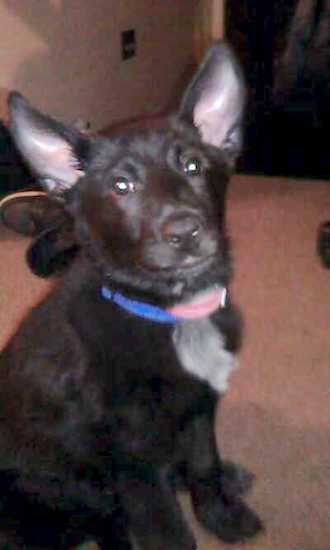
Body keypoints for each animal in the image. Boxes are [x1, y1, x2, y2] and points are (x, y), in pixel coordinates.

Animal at [0, 44, 262, 550]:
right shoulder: (135, 463)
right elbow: (168, 532)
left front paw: (221, 515)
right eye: (122, 187)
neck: (171, 313)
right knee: (102, 520)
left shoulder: (200, 408)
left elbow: (204, 464)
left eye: (193, 166)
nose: (185, 232)